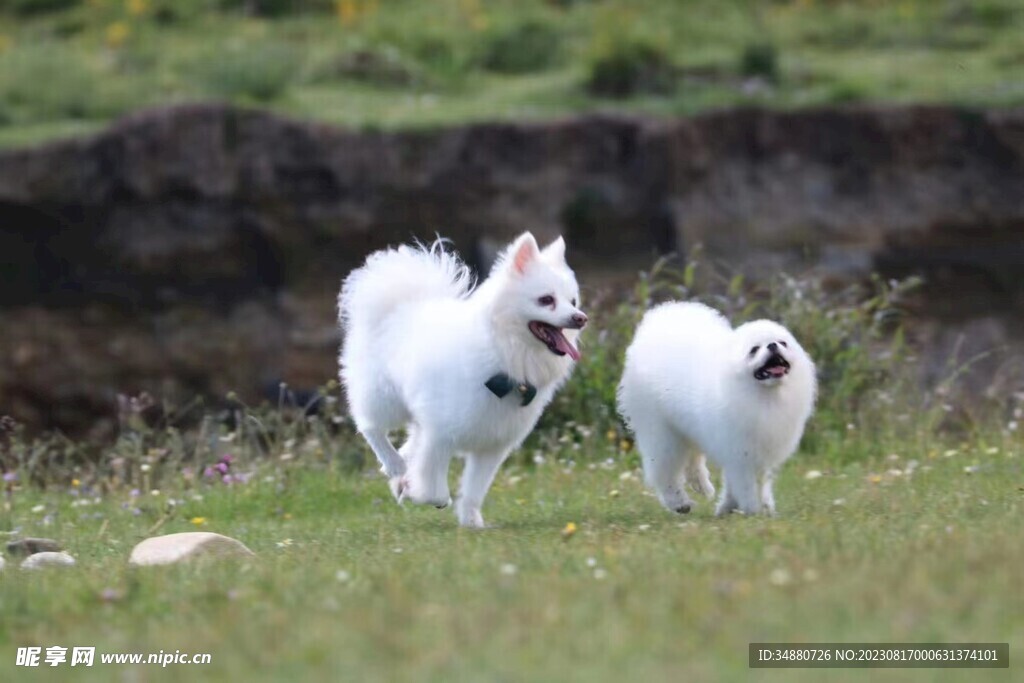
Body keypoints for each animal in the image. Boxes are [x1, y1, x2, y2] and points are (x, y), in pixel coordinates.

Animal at [339, 232, 589, 528]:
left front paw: (472, 522)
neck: (505, 366)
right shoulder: (439, 435)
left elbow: (473, 490)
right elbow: (434, 488)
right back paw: (395, 465)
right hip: (384, 398)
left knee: (409, 440)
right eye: (546, 300)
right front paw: (417, 491)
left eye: (573, 301)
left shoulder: (491, 447)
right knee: (370, 426)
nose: (580, 318)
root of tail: (401, 304)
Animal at [614, 301, 815, 516]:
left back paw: (702, 486)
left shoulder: (756, 449)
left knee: (692, 461)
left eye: (783, 343)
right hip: (663, 433)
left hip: (687, 429)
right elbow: (746, 485)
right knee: (664, 471)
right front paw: (752, 510)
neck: (764, 395)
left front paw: (738, 508)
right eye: (754, 350)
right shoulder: (740, 452)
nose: (772, 345)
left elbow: (756, 483)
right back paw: (678, 502)